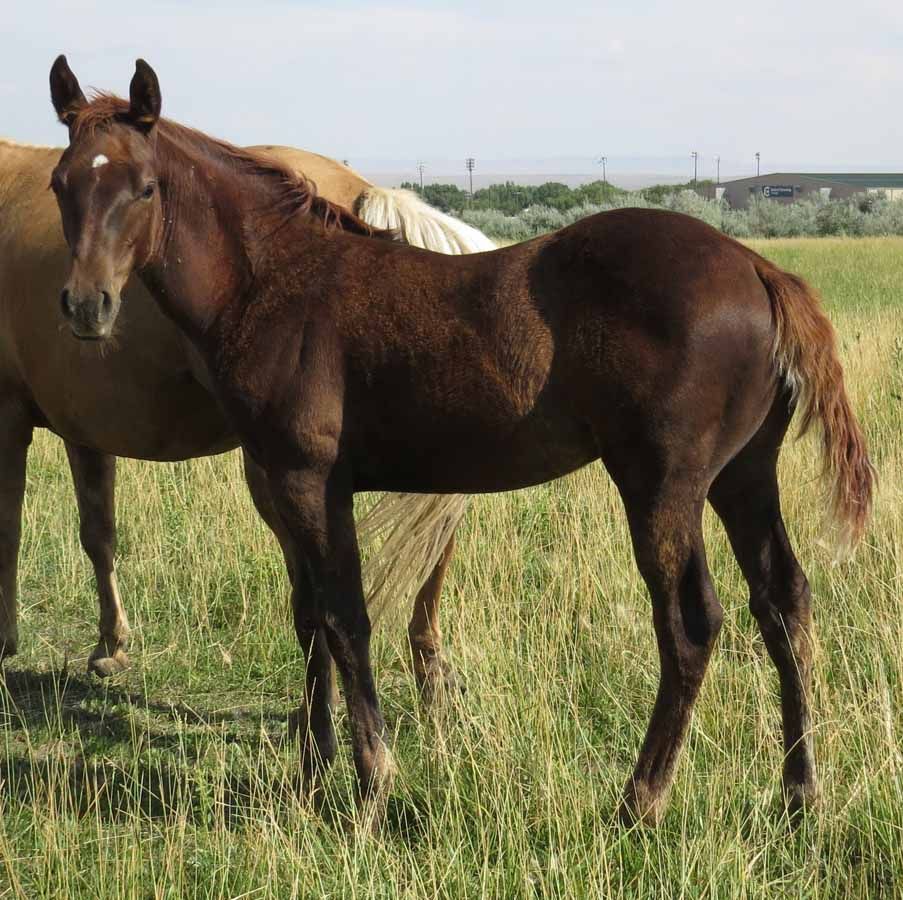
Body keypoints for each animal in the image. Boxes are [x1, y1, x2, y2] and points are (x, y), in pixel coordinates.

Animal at [0, 131, 492, 686]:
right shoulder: (84, 426)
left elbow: (9, 528)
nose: (85, 307)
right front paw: (110, 644)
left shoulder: (9, 415)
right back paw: (430, 665)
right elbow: (98, 531)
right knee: (436, 538)